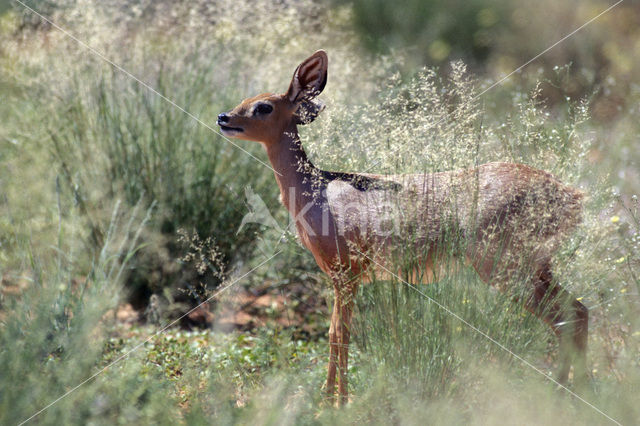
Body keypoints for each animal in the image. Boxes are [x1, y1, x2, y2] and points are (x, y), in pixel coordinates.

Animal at [218, 50, 588, 406]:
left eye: (264, 106)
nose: (224, 118)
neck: (316, 192)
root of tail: (571, 195)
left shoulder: (346, 272)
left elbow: (339, 334)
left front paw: (335, 402)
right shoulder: (342, 276)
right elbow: (336, 333)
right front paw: (332, 398)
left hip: (504, 265)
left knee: (565, 316)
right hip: (536, 266)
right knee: (578, 311)